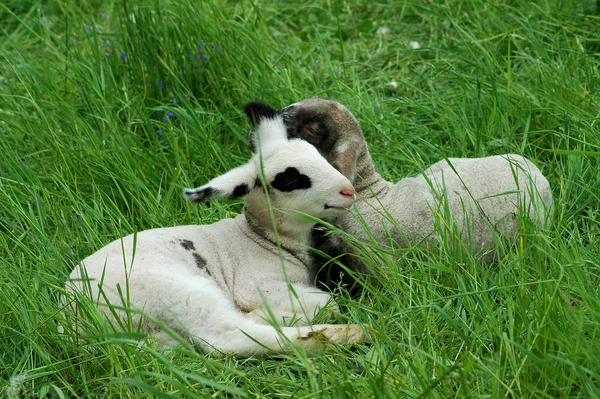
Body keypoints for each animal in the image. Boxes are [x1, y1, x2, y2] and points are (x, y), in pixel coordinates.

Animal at [67, 112, 366, 356]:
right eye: (291, 179)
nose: (347, 190)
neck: (265, 238)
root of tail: (76, 327)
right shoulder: (258, 286)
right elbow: (328, 301)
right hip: (174, 291)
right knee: (228, 337)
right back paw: (346, 333)